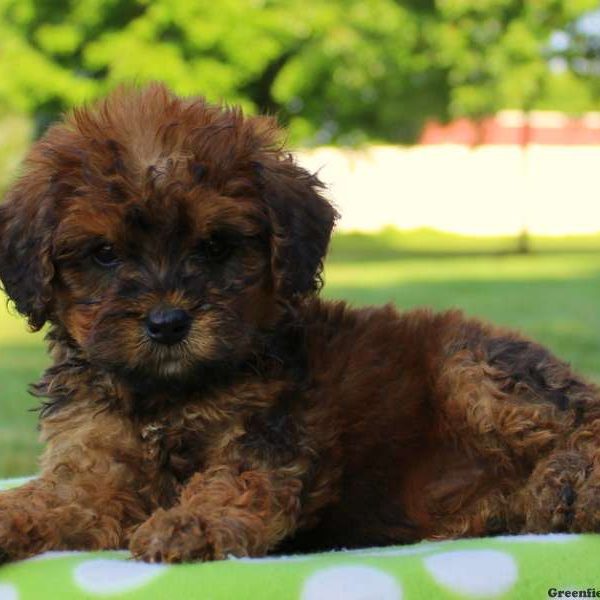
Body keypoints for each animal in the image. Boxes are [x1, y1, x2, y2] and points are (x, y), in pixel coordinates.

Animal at [1, 83, 600, 564]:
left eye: (215, 246)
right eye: (104, 254)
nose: (168, 323)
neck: (167, 396)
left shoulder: (270, 435)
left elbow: (235, 482)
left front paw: (190, 522)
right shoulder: (95, 469)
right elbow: (55, 497)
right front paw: (11, 517)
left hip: (473, 370)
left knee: (583, 427)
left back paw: (571, 484)